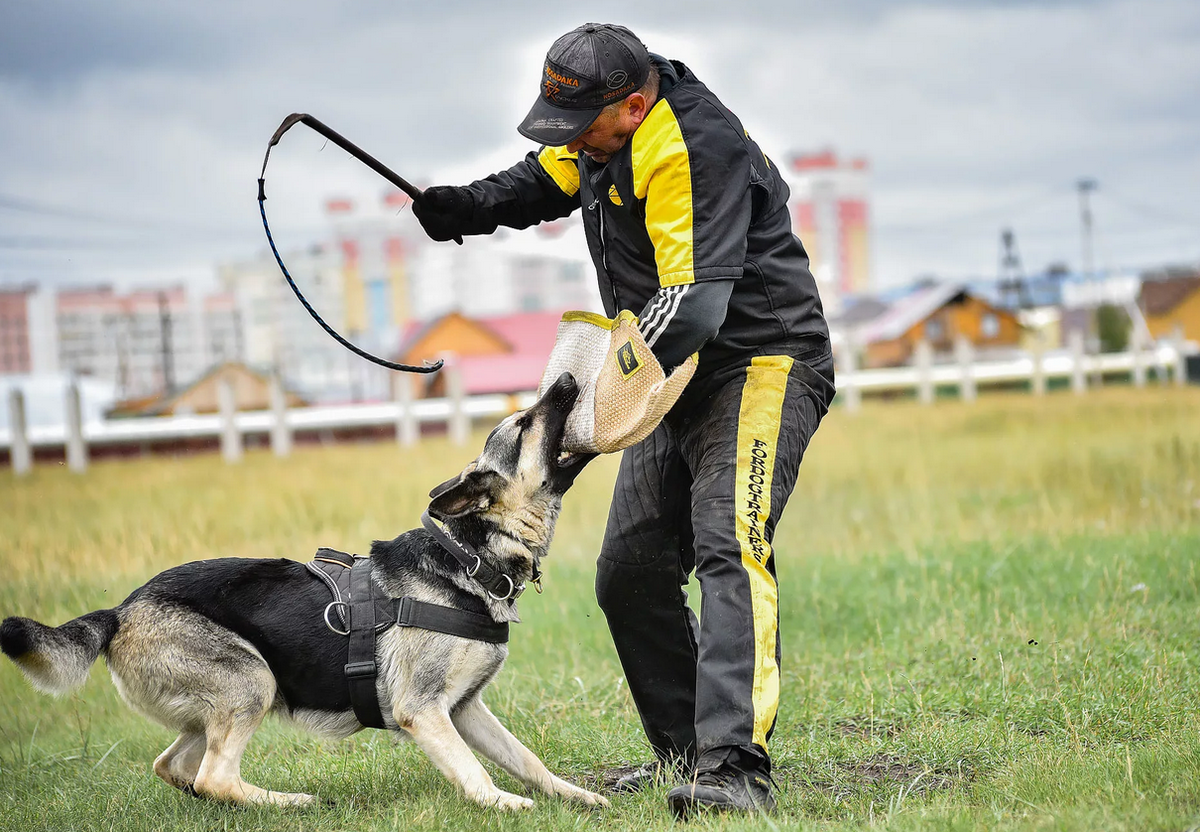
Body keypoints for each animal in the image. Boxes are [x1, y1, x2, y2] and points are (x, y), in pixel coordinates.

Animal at [0, 372, 600, 811]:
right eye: (524, 424)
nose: (568, 377)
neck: (467, 554)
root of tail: (120, 611)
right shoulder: (425, 712)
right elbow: (475, 771)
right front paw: (501, 804)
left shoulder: (466, 709)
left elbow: (527, 761)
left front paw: (576, 796)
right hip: (252, 681)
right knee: (215, 775)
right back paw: (288, 802)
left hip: (216, 705)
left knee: (174, 767)